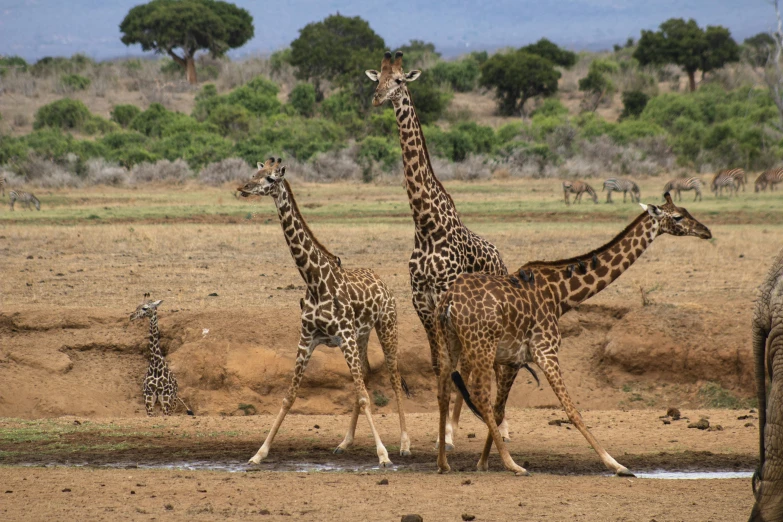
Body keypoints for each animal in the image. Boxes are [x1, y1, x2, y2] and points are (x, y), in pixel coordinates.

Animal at [237, 159, 410, 468]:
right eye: (254, 173)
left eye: (270, 178)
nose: (243, 188)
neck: (315, 281)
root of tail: (383, 282)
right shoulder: (307, 338)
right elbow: (289, 397)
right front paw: (259, 453)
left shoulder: (343, 336)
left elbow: (365, 397)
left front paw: (383, 454)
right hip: (361, 335)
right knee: (365, 374)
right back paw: (345, 442)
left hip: (386, 325)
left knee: (392, 376)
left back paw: (404, 444)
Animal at [368, 49, 532, 446]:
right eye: (377, 78)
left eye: (399, 80)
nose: (377, 98)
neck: (425, 225)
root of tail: (501, 261)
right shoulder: (421, 300)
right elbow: (438, 364)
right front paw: (443, 430)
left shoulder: (443, 296)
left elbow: (453, 365)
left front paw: (448, 432)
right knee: (472, 362)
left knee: (484, 362)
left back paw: (500, 426)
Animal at [434, 192, 712, 476]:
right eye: (677, 217)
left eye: (686, 211)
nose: (706, 231)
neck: (561, 295)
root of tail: (449, 301)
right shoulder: (545, 351)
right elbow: (572, 410)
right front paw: (616, 464)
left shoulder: (514, 359)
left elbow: (500, 410)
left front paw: (483, 462)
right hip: (482, 346)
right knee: (478, 394)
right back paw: (514, 465)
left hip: (447, 343)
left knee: (443, 392)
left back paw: (443, 462)